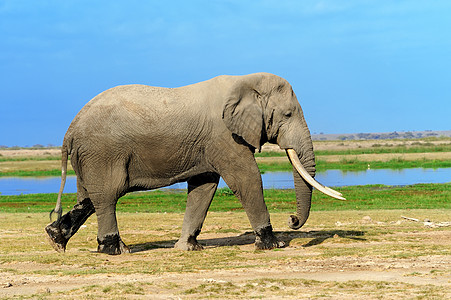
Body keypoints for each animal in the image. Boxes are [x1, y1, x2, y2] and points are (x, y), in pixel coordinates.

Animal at [46, 72, 344, 255]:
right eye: (288, 114)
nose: (292, 220)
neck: (244, 81)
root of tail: (70, 129)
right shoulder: (224, 135)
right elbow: (247, 177)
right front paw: (274, 244)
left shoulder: (209, 144)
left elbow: (204, 186)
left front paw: (188, 248)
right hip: (103, 152)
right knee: (107, 196)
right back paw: (117, 250)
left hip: (90, 156)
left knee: (89, 198)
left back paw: (56, 238)